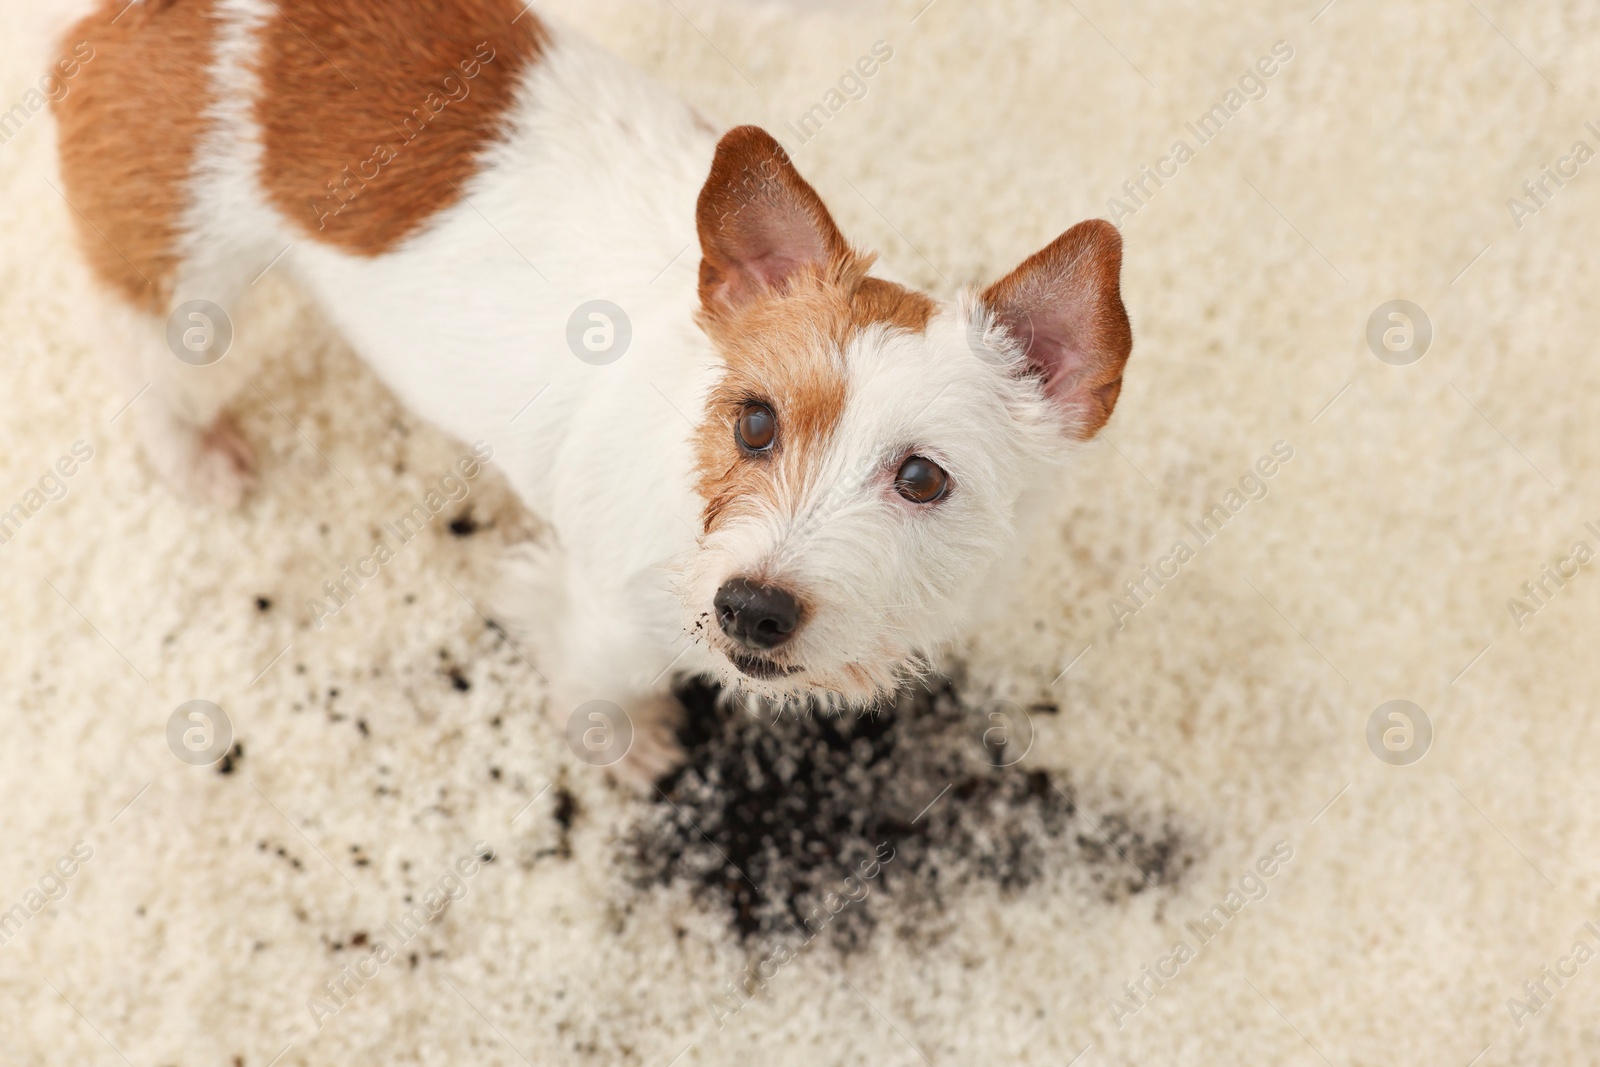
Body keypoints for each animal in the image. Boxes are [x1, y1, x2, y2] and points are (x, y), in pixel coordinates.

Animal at [50, 0, 1132, 767]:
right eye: (754, 424)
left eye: (922, 478)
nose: (751, 608)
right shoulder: (612, 612)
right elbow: (596, 676)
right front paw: (620, 742)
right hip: (180, 287)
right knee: (135, 353)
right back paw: (193, 453)